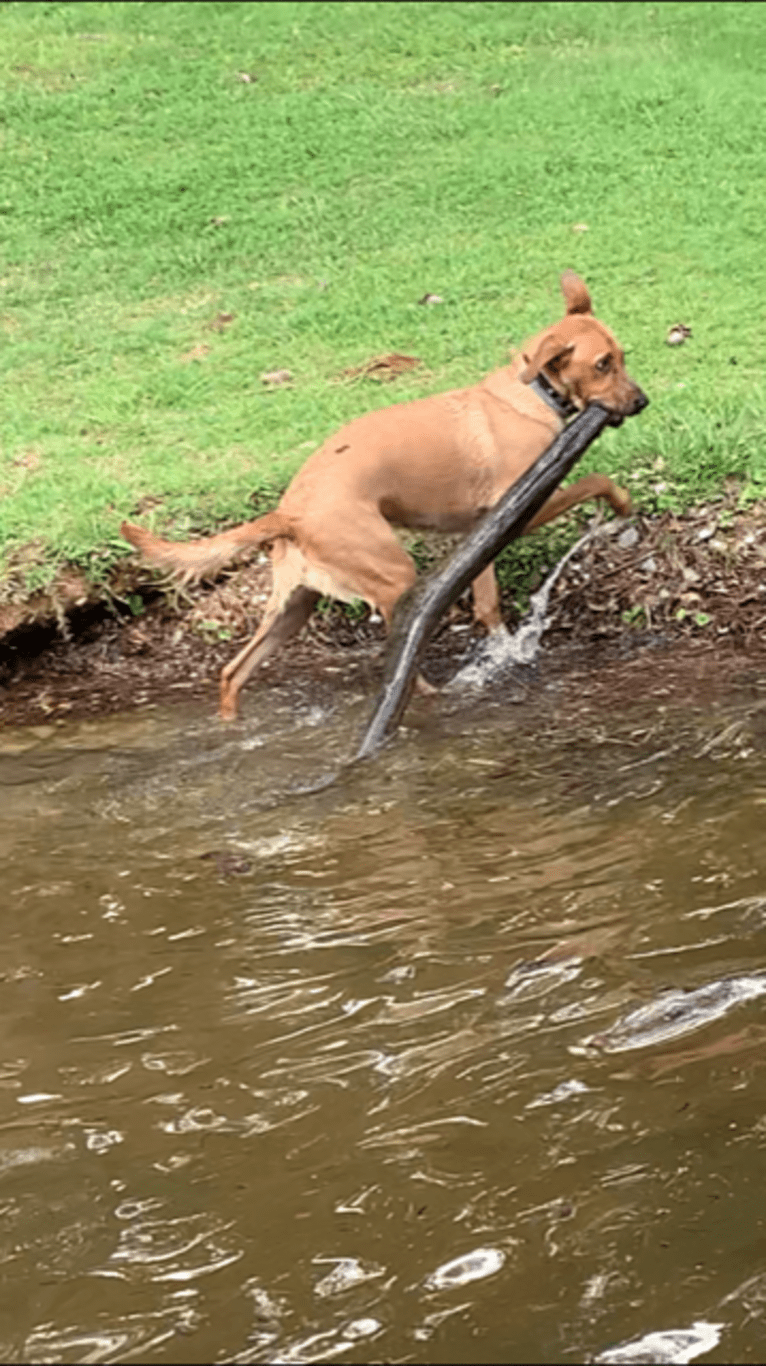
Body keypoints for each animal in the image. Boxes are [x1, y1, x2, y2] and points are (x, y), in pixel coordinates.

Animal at [124, 271, 644, 721]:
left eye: (624, 356)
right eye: (602, 365)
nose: (643, 402)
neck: (534, 393)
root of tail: (289, 514)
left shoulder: (480, 533)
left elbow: (488, 606)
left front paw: (503, 651)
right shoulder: (525, 504)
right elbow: (595, 480)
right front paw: (621, 502)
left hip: (292, 607)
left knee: (232, 672)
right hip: (393, 577)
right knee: (401, 660)